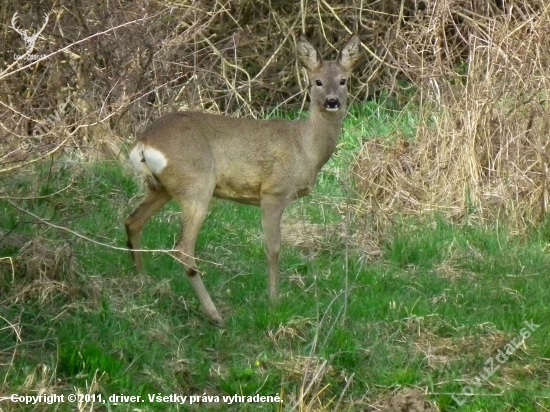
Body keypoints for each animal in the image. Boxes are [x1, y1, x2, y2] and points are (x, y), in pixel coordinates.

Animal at [128, 34, 364, 326]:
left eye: (343, 80)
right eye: (316, 81)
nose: (332, 101)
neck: (304, 147)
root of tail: (144, 142)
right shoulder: (273, 191)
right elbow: (273, 248)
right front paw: (273, 302)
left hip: (162, 188)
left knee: (133, 221)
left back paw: (144, 283)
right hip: (196, 185)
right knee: (183, 248)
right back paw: (215, 315)